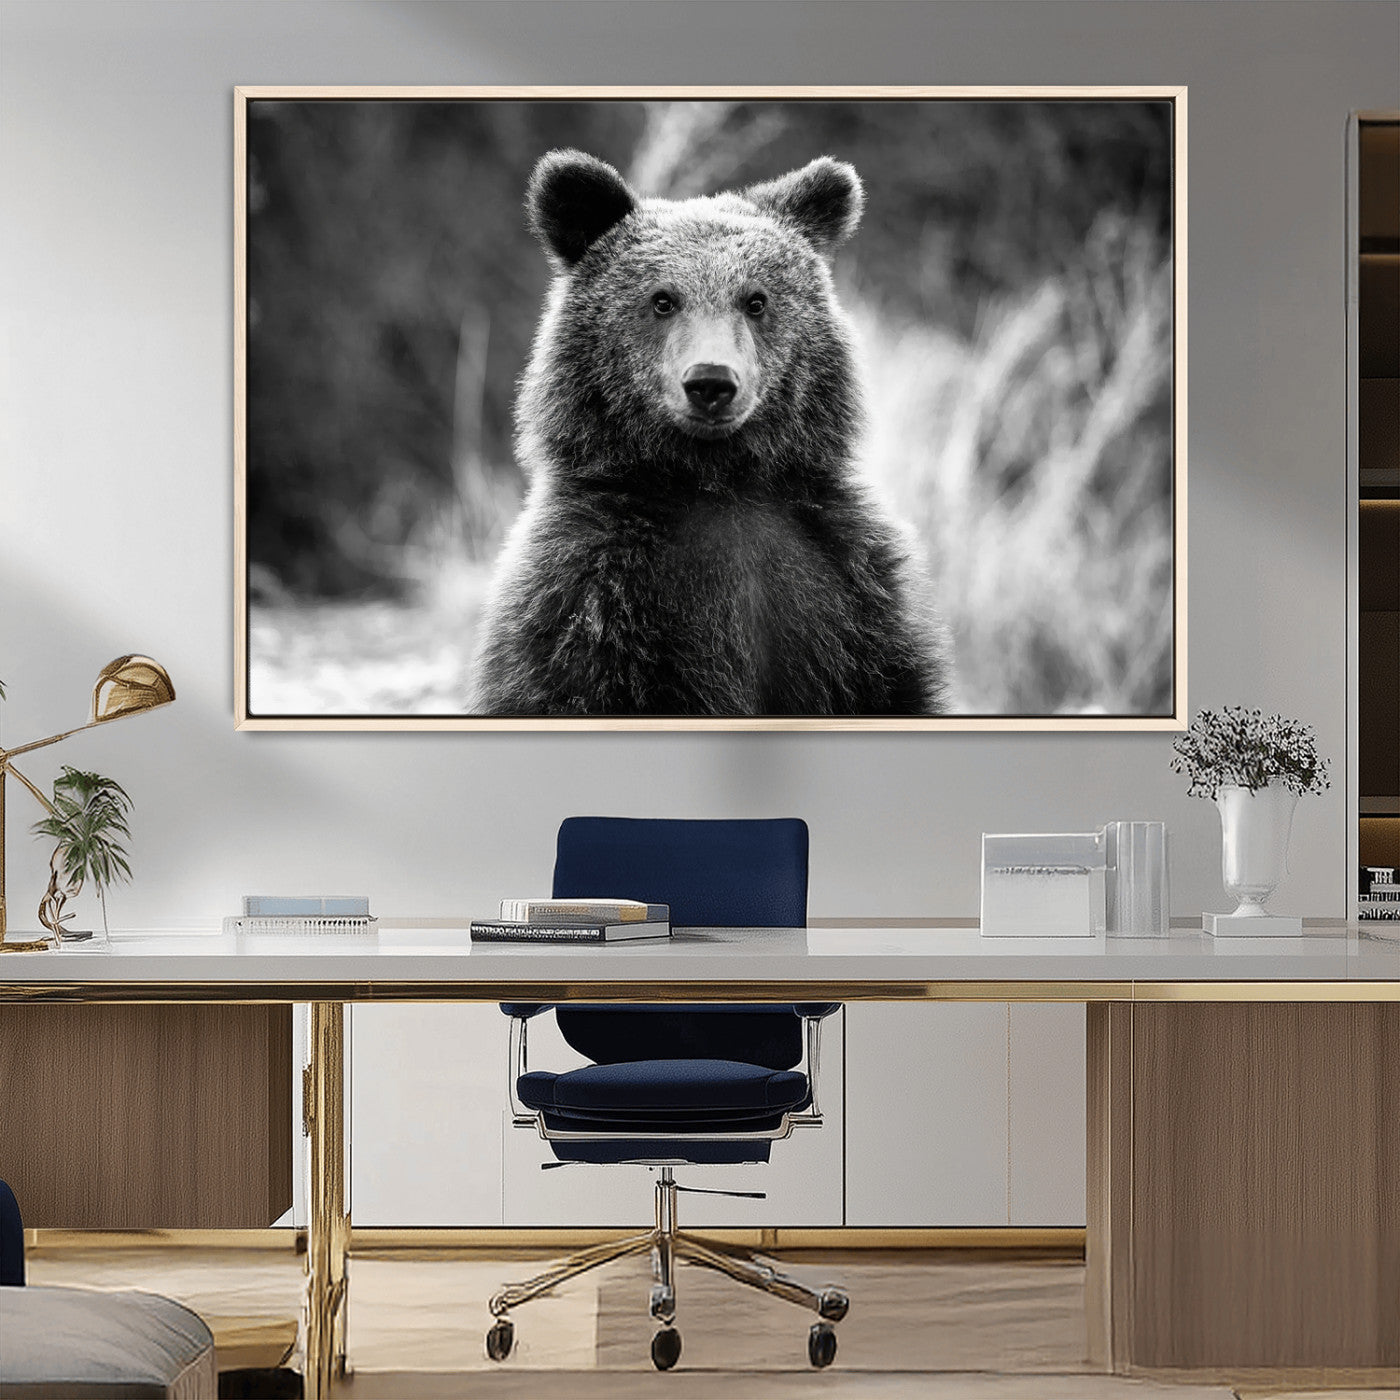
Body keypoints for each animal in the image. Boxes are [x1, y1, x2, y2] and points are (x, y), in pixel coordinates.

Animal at [471, 148, 948, 717]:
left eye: (756, 300)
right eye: (662, 299)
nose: (711, 382)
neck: (716, 481)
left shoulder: (848, 589)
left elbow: (890, 683)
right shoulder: (589, 599)